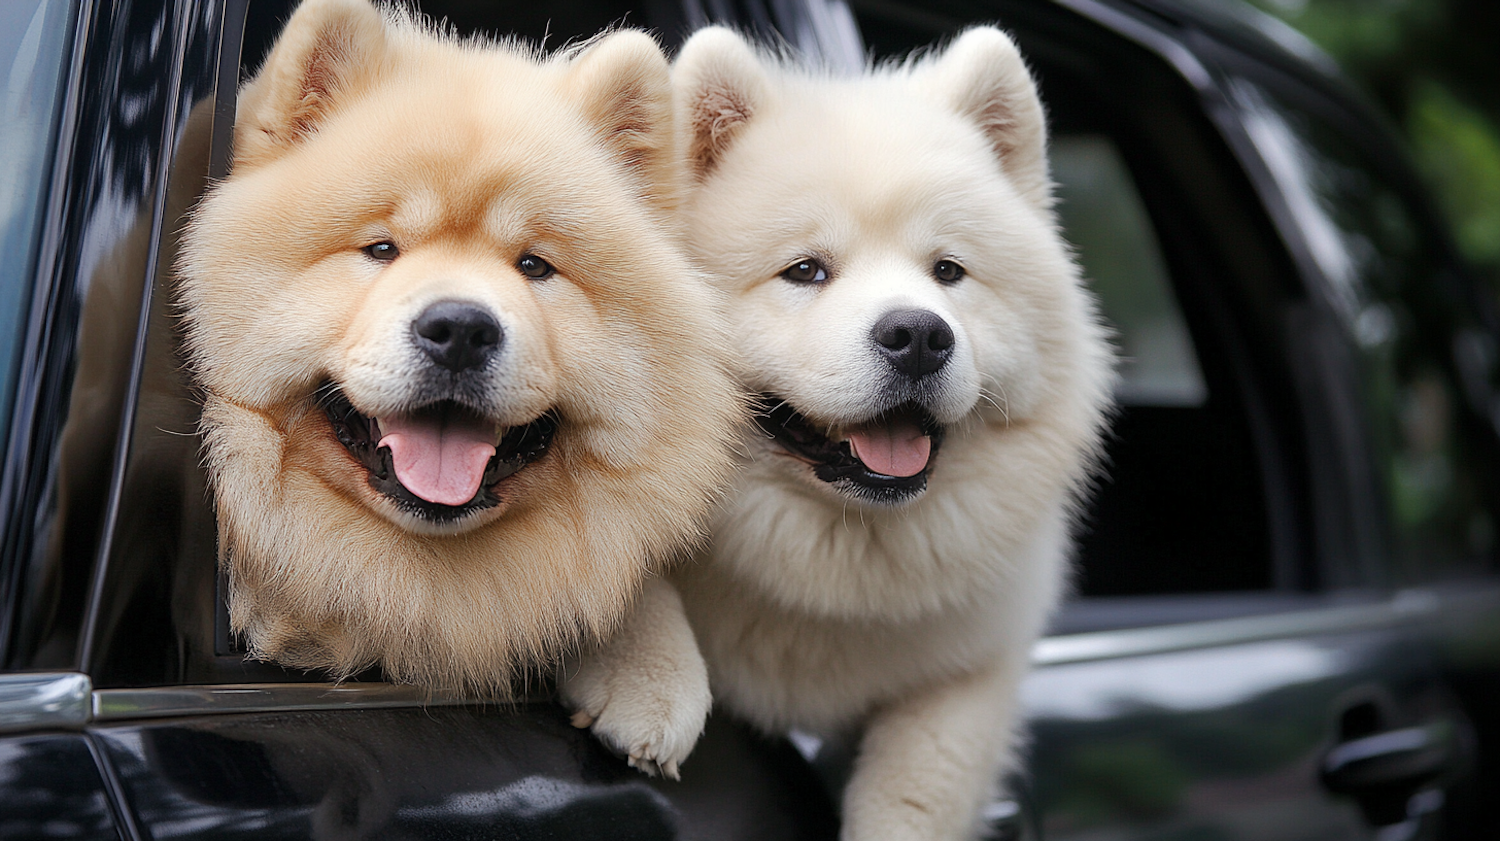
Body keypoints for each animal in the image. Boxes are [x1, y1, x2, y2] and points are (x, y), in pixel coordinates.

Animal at [567, 24, 1122, 833]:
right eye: (805, 270)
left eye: (948, 271)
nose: (918, 335)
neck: (832, 561)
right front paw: (651, 679)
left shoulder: (977, 663)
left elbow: (921, 781)